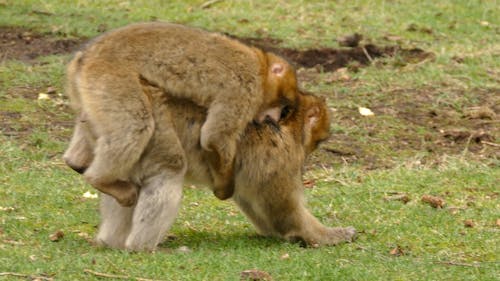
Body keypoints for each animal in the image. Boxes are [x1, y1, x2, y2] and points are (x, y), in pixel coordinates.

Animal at [62, 21, 296, 205]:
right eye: (283, 106)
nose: (274, 118)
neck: (260, 67)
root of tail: (85, 57)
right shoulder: (244, 89)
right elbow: (214, 137)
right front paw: (225, 187)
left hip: (88, 87)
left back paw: (76, 161)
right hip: (109, 77)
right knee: (134, 126)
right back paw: (99, 179)